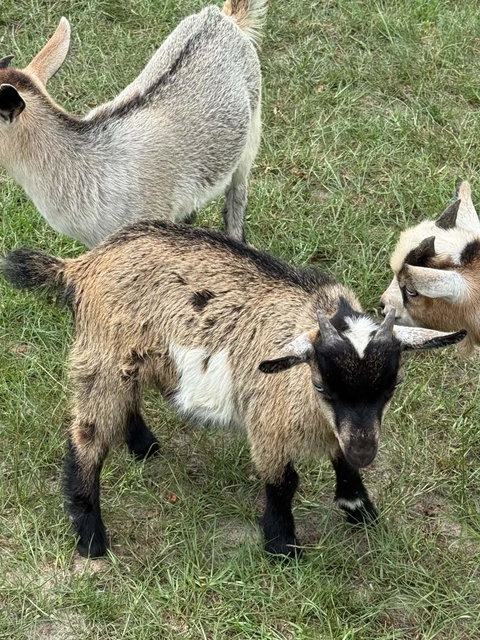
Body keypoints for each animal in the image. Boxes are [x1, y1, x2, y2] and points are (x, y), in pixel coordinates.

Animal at [2, 222, 464, 558]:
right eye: (320, 383)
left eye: (392, 385)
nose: (367, 452)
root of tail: (82, 264)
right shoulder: (269, 421)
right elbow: (284, 482)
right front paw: (281, 546)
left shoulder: (338, 426)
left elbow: (341, 457)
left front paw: (358, 507)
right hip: (100, 355)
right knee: (87, 436)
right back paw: (90, 537)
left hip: (130, 357)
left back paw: (142, 444)